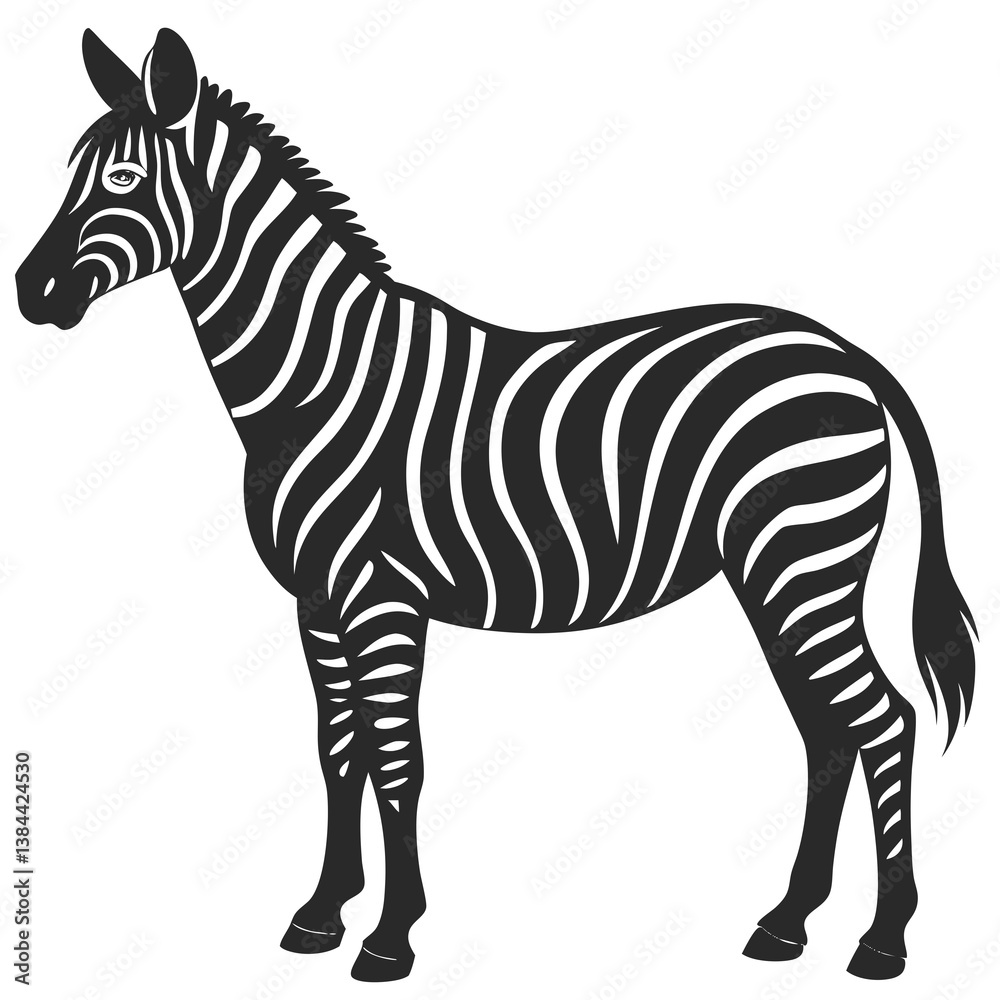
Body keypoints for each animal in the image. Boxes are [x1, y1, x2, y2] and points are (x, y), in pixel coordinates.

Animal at [15, 27, 976, 984]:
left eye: (121, 180)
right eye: (70, 170)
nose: (30, 293)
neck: (317, 381)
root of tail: (844, 350)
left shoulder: (381, 597)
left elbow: (397, 758)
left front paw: (390, 937)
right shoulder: (316, 602)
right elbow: (338, 752)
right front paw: (322, 914)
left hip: (803, 560)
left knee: (881, 721)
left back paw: (882, 941)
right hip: (775, 573)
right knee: (828, 732)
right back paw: (786, 924)